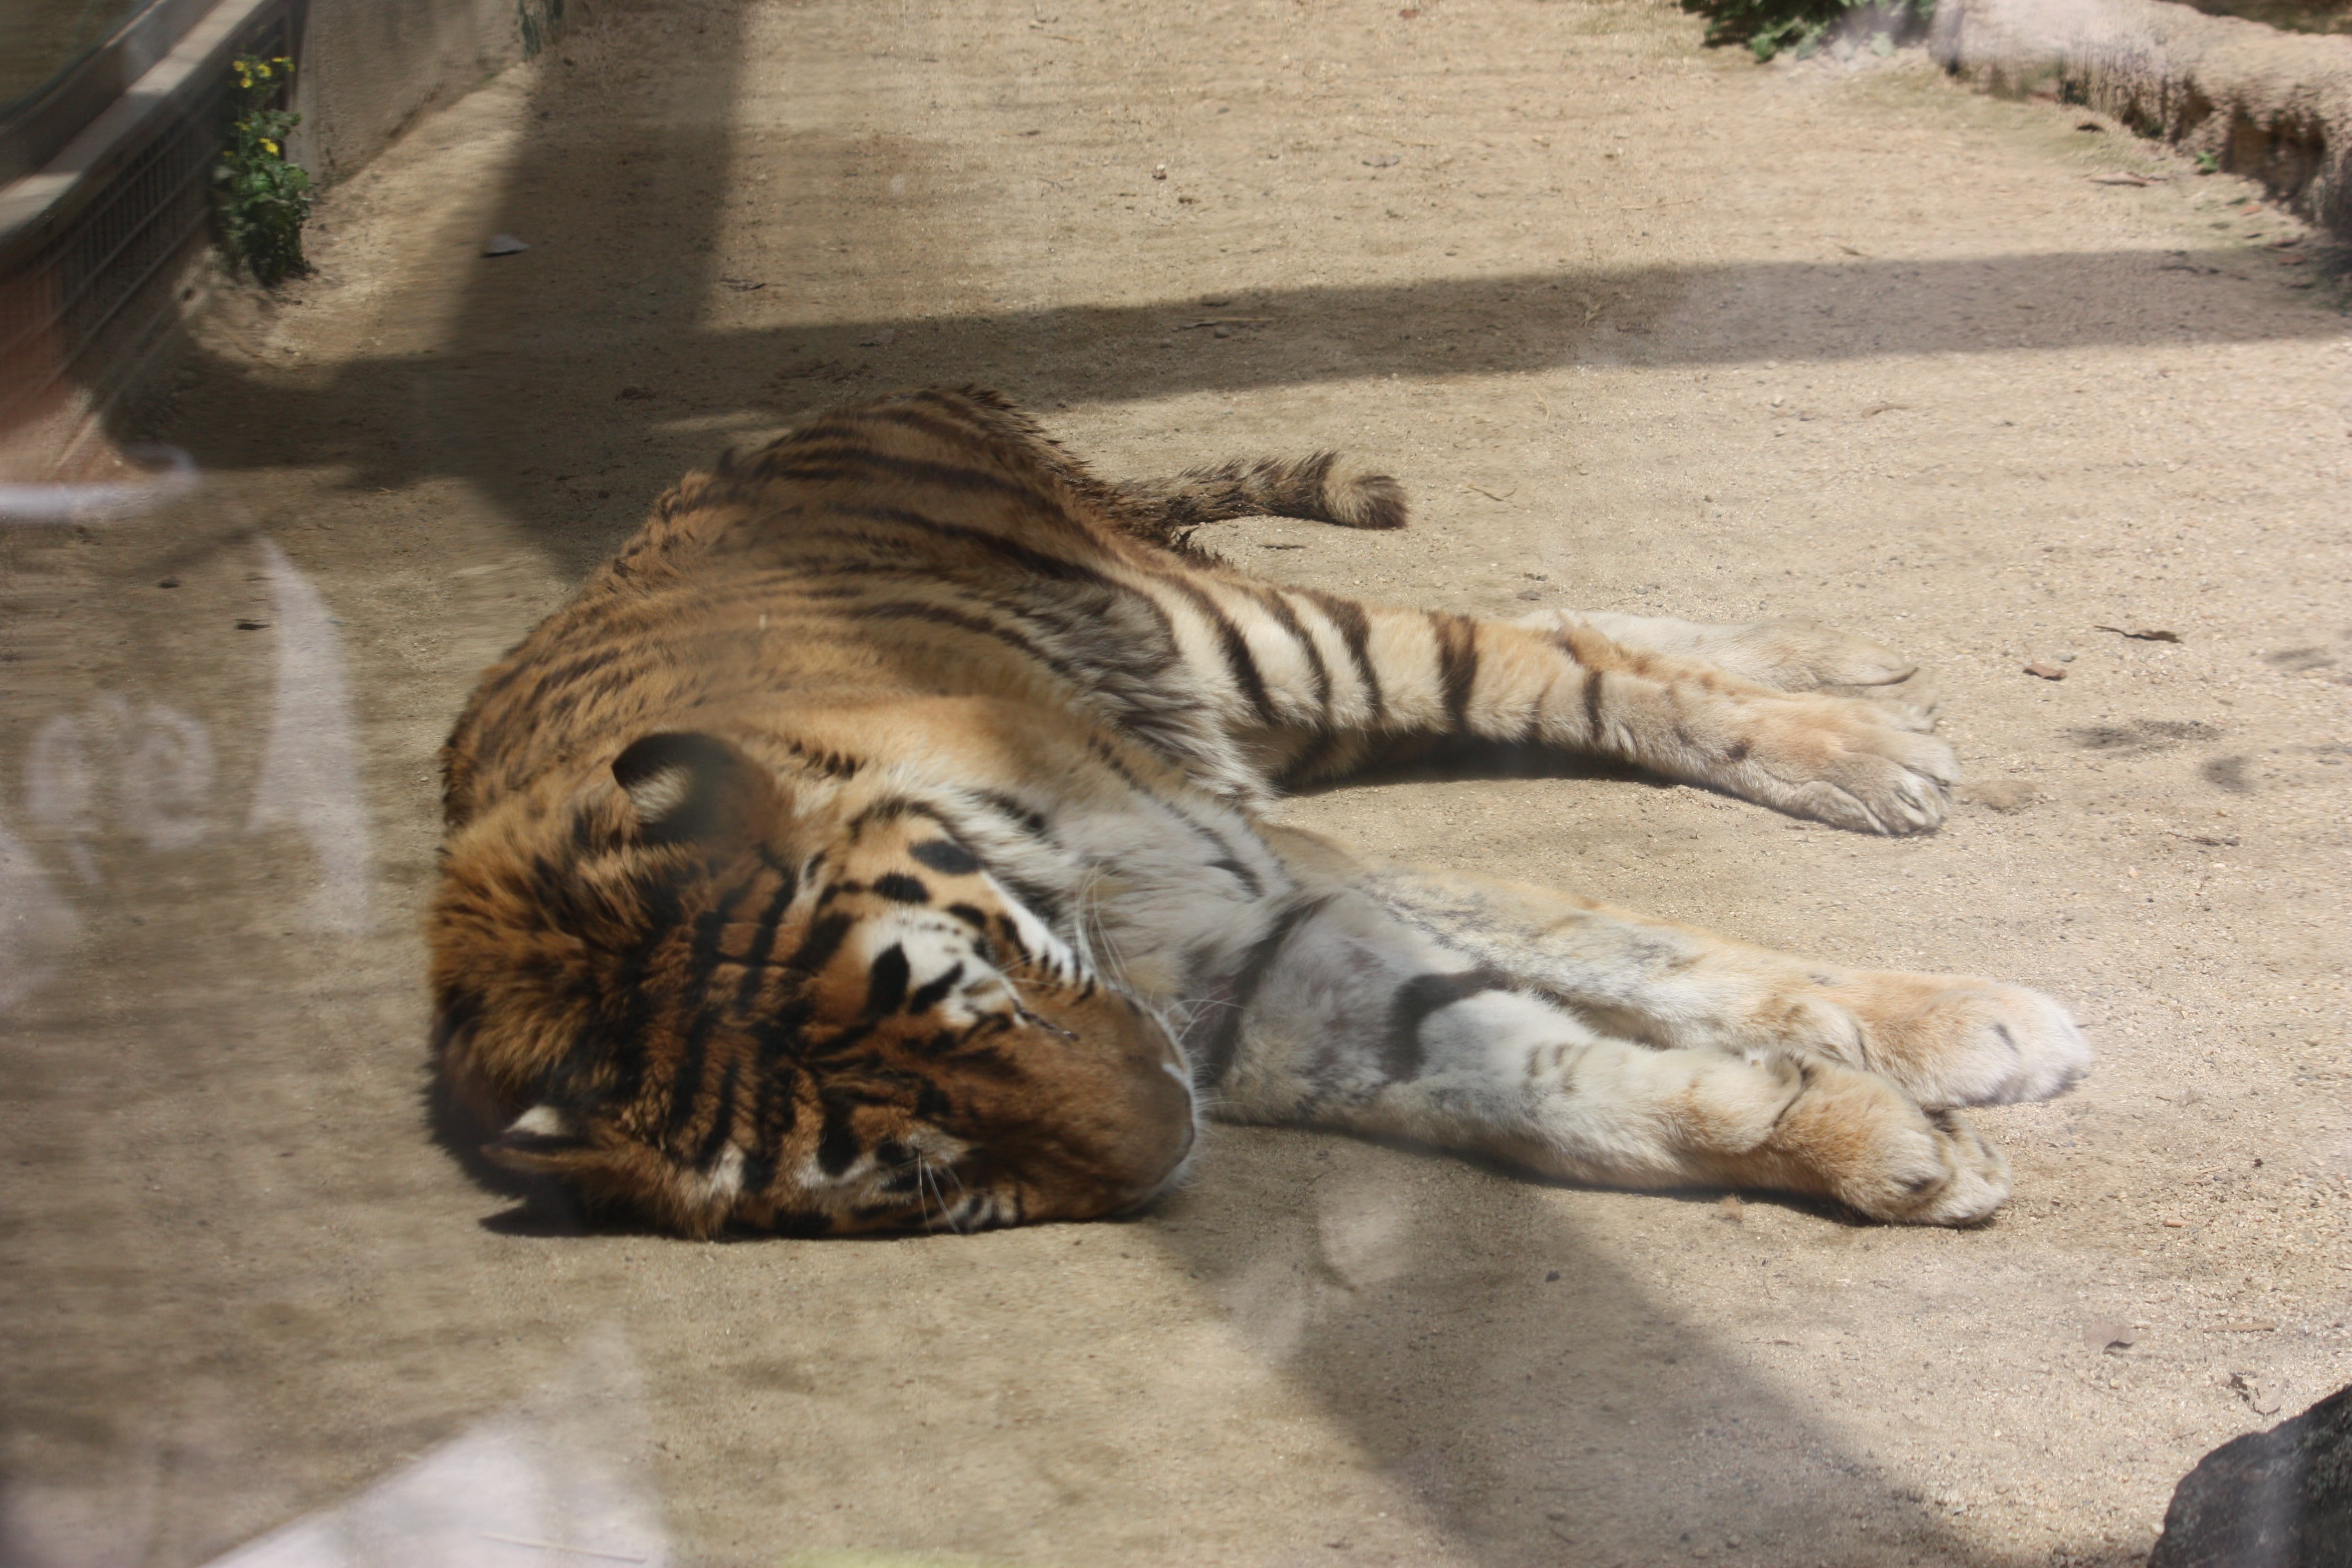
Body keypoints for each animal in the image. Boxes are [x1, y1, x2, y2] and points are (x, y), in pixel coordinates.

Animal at [428, 385, 2088, 1239]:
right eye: (913, 1174)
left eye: (987, 1002)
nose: (1168, 1143)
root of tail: (839, 401)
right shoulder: (1276, 988)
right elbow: (1558, 1087)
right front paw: (1884, 1148)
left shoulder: (1269, 881)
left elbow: (1634, 950)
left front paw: (1973, 1029)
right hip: (1277, 708)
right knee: (1572, 624)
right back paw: (1848, 678)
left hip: (1264, 638)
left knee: (1548, 666)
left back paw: (1860, 743)